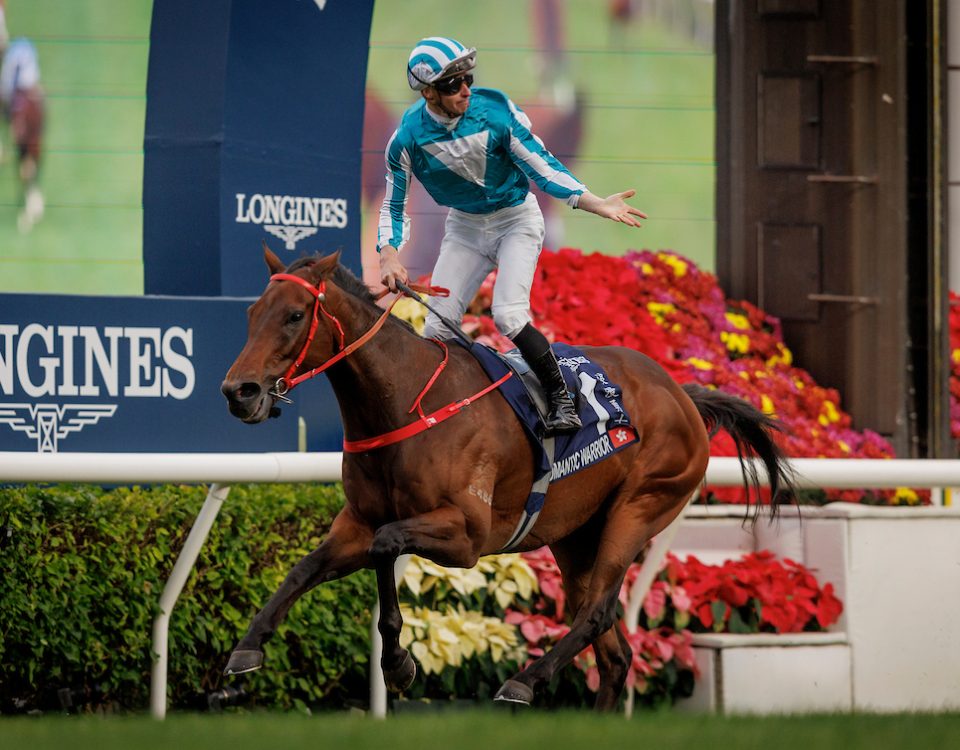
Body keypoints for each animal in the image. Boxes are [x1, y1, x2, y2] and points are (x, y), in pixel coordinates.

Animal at [219, 250, 796, 712]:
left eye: (295, 315)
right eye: (250, 313)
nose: (238, 391)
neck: (402, 403)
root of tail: (681, 393)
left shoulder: (467, 536)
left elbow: (387, 545)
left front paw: (398, 665)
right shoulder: (355, 524)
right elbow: (304, 569)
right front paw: (246, 650)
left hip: (641, 506)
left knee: (596, 613)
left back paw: (523, 681)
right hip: (575, 536)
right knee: (613, 651)